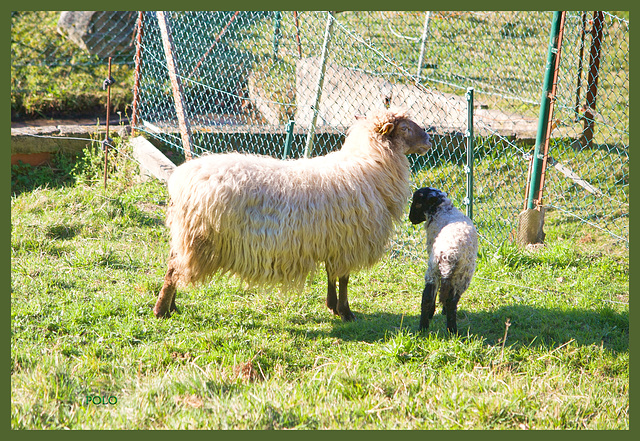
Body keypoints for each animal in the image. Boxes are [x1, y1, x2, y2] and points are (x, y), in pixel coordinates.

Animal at [153, 106, 432, 320]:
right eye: (405, 128)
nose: (429, 141)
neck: (368, 165)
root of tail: (181, 178)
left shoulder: (335, 240)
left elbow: (332, 276)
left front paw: (332, 307)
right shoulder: (348, 241)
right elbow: (343, 278)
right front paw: (345, 312)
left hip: (188, 235)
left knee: (174, 266)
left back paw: (172, 306)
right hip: (199, 237)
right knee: (174, 271)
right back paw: (161, 311)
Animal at [410, 186, 476, 334]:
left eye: (417, 203)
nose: (411, 219)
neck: (442, 210)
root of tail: (449, 255)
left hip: (436, 268)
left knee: (429, 297)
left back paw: (425, 326)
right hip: (460, 275)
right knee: (449, 300)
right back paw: (450, 329)